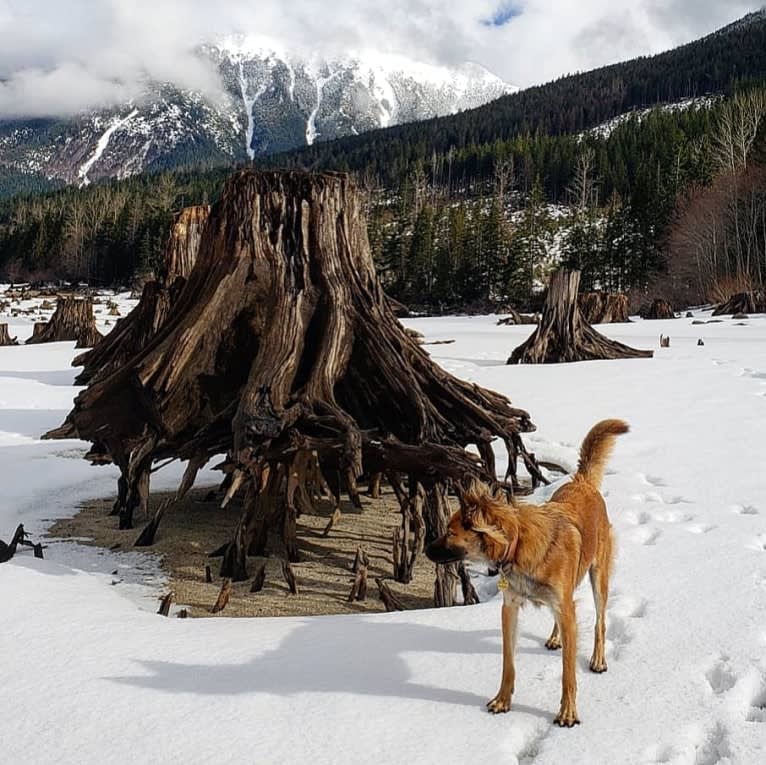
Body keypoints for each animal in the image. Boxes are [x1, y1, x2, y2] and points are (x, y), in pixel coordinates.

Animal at [426, 420, 632, 724]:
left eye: (450, 533)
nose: (426, 549)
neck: (517, 545)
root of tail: (581, 482)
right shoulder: (510, 607)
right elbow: (508, 663)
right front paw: (502, 700)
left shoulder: (565, 606)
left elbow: (568, 672)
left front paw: (568, 712)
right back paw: (556, 638)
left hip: (599, 578)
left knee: (599, 622)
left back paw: (598, 659)